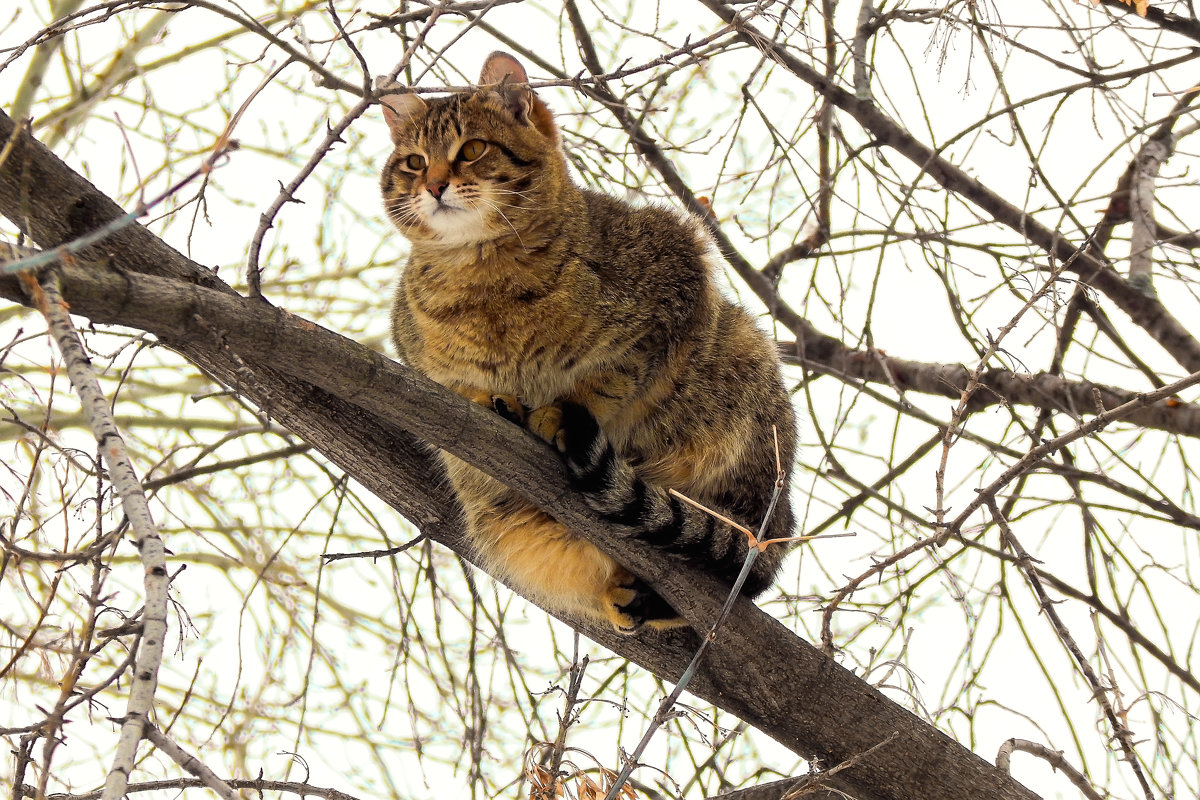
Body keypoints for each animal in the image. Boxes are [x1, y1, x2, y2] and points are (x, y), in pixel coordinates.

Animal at [379, 51, 796, 633]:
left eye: (473, 149)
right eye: (415, 162)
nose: (435, 184)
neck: (484, 275)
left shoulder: (675, 278)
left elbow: (607, 378)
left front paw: (560, 410)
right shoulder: (417, 357)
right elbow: (456, 387)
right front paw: (489, 399)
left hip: (745, 383)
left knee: (738, 558)